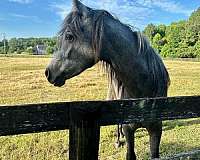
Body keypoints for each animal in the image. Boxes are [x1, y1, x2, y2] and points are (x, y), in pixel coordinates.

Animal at [45, 0, 170, 159]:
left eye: (69, 36)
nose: (48, 72)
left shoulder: (156, 129)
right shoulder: (129, 130)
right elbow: (130, 153)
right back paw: (118, 140)